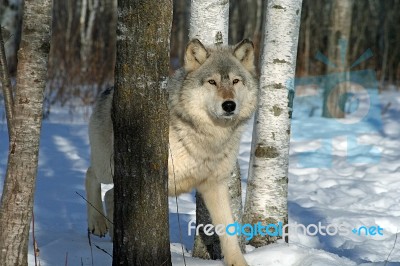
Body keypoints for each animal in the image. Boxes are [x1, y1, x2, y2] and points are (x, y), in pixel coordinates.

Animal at [86, 38, 258, 264]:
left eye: (236, 81)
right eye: (212, 82)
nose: (229, 105)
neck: (208, 137)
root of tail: (107, 89)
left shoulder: (215, 185)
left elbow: (228, 230)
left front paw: (238, 262)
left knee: (110, 194)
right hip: (107, 167)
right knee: (91, 175)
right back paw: (97, 224)